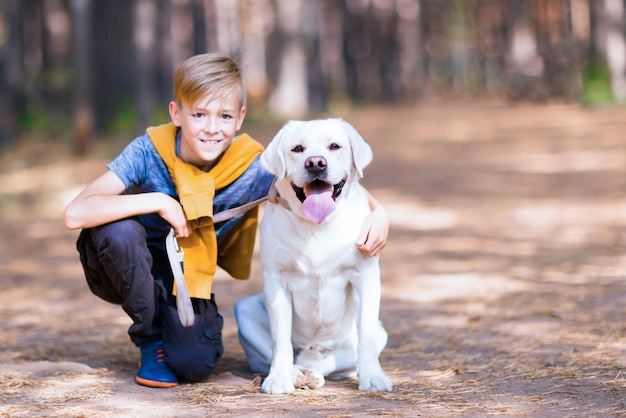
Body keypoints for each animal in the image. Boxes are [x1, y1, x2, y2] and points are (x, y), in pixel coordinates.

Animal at [256, 119, 388, 394]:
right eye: (297, 148)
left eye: (334, 146)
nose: (316, 163)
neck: (317, 226)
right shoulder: (275, 279)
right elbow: (280, 339)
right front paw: (279, 378)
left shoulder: (366, 277)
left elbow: (366, 337)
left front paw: (373, 377)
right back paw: (298, 374)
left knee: (333, 361)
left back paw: (311, 372)